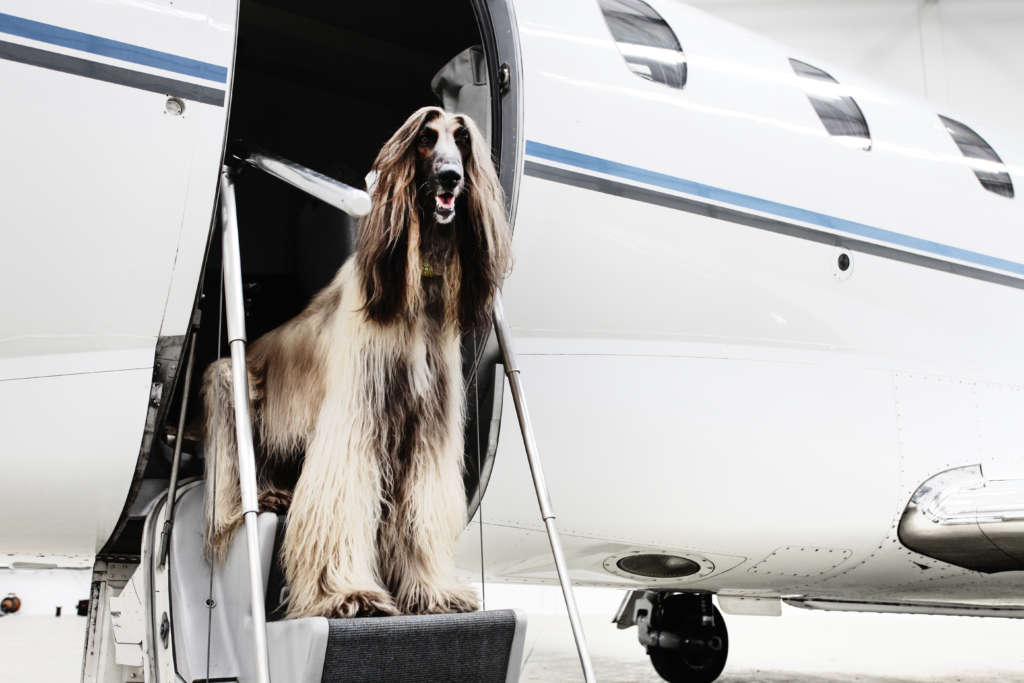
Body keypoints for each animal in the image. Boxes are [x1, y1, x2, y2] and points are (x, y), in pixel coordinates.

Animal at [202, 106, 511, 619]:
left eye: (463, 139)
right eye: (425, 139)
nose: (451, 177)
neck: (415, 289)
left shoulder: (426, 430)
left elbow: (421, 510)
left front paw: (432, 591)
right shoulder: (356, 418)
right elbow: (341, 500)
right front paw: (349, 593)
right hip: (228, 377)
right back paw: (263, 494)